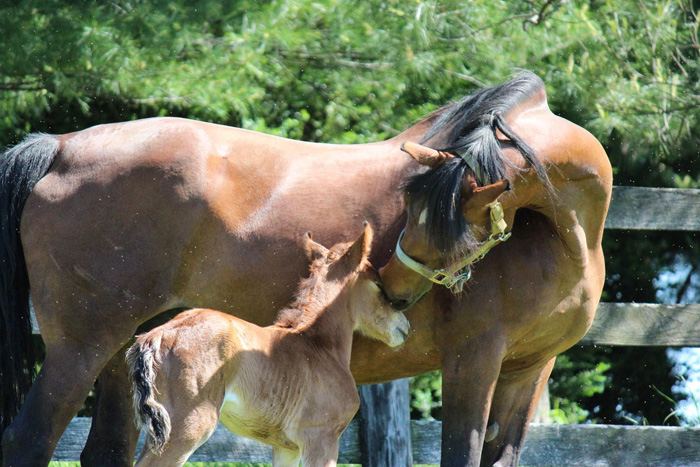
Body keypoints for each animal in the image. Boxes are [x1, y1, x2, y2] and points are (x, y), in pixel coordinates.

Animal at [127, 224, 410, 466]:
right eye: (377, 284)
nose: (404, 325)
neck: (317, 344)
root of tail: (159, 335)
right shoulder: (322, 438)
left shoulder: (286, 448)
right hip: (188, 428)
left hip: (159, 430)